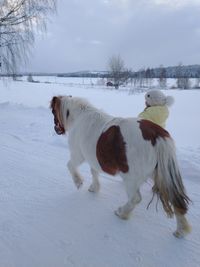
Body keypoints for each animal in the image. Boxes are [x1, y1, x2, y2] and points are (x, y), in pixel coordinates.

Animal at [49, 96, 191, 239]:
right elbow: (94, 172)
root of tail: (156, 135)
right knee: (176, 201)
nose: (56, 129)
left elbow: (70, 166)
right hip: (161, 175)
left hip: (131, 179)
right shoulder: (93, 159)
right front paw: (94, 188)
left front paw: (78, 182)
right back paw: (181, 230)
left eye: (53, 112)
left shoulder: (79, 155)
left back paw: (122, 212)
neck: (79, 117)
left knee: (135, 199)